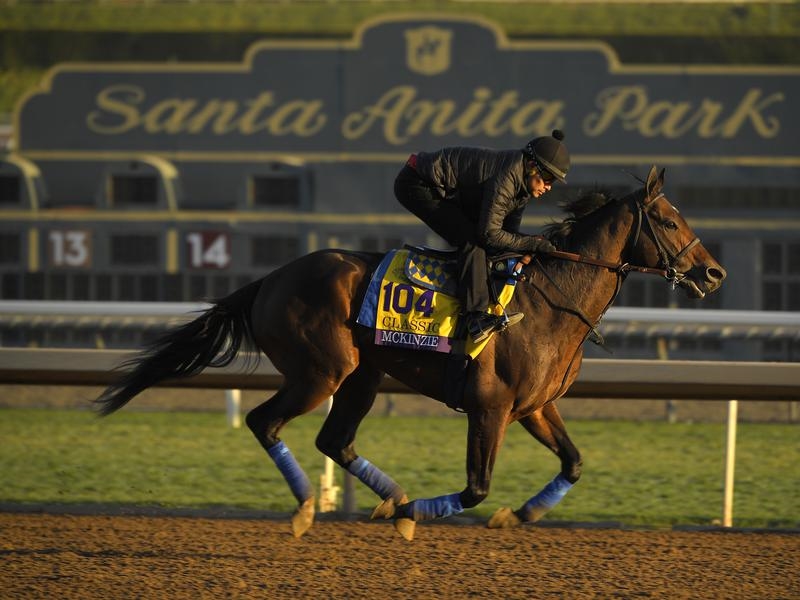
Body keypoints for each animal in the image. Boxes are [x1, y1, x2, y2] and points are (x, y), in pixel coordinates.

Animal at [95, 166, 725, 540]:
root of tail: (270, 279)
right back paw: (312, 508)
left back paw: (392, 499)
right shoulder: (490, 408)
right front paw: (420, 516)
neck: (552, 301)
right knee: (264, 421)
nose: (713, 273)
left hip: (363, 377)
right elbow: (475, 487)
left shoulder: (535, 407)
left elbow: (571, 462)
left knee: (335, 440)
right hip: (322, 372)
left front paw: (518, 514)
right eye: (669, 220)